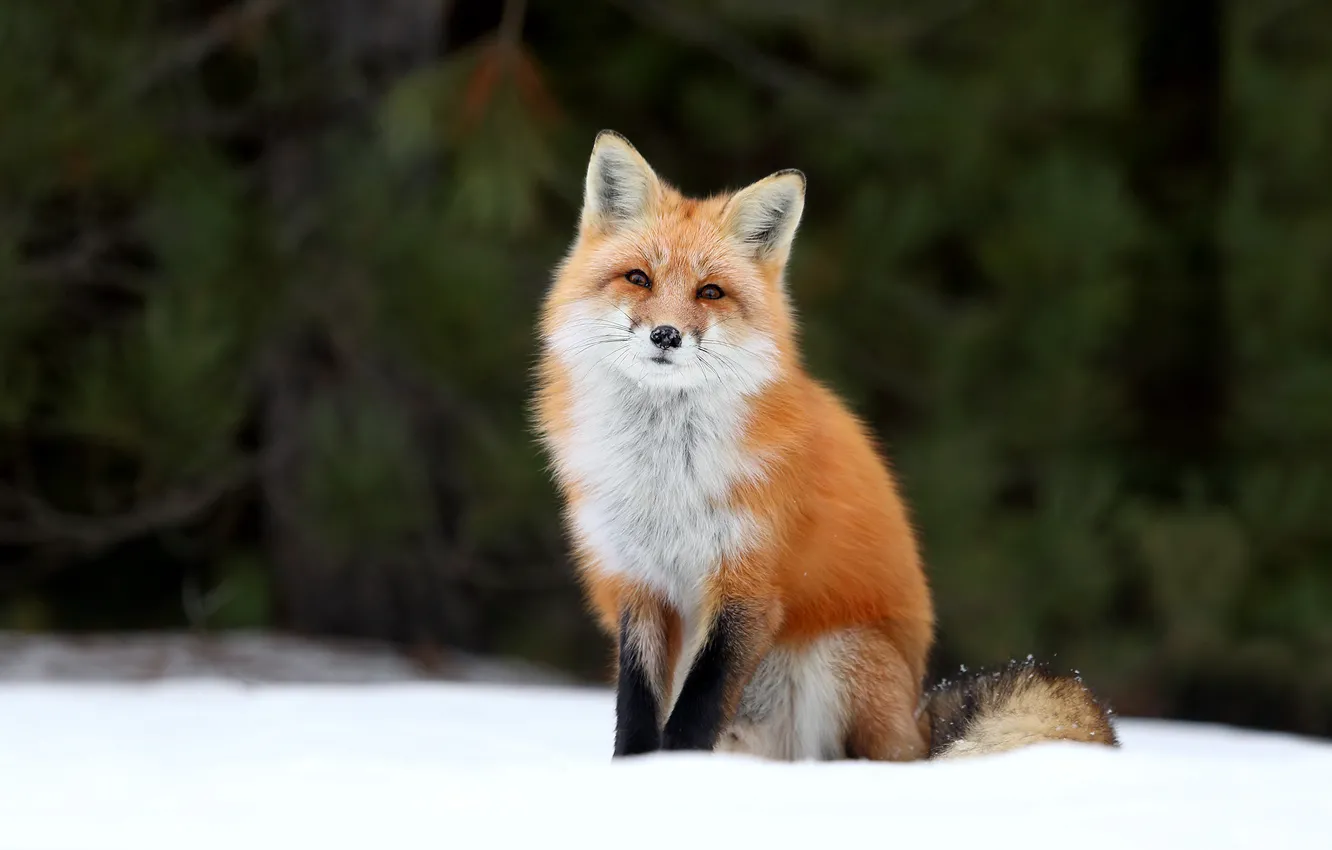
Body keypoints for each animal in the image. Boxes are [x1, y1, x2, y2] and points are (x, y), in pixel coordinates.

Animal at [533, 129, 1118, 761]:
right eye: (638, 278)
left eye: (710, 292)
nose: (666, 335)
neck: (666, 479)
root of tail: (918, 721)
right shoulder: (637, 583)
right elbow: (637, 710)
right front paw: (636, 773)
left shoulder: (748, 585)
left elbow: (697, 709)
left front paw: (682, 769)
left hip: (838, 657)